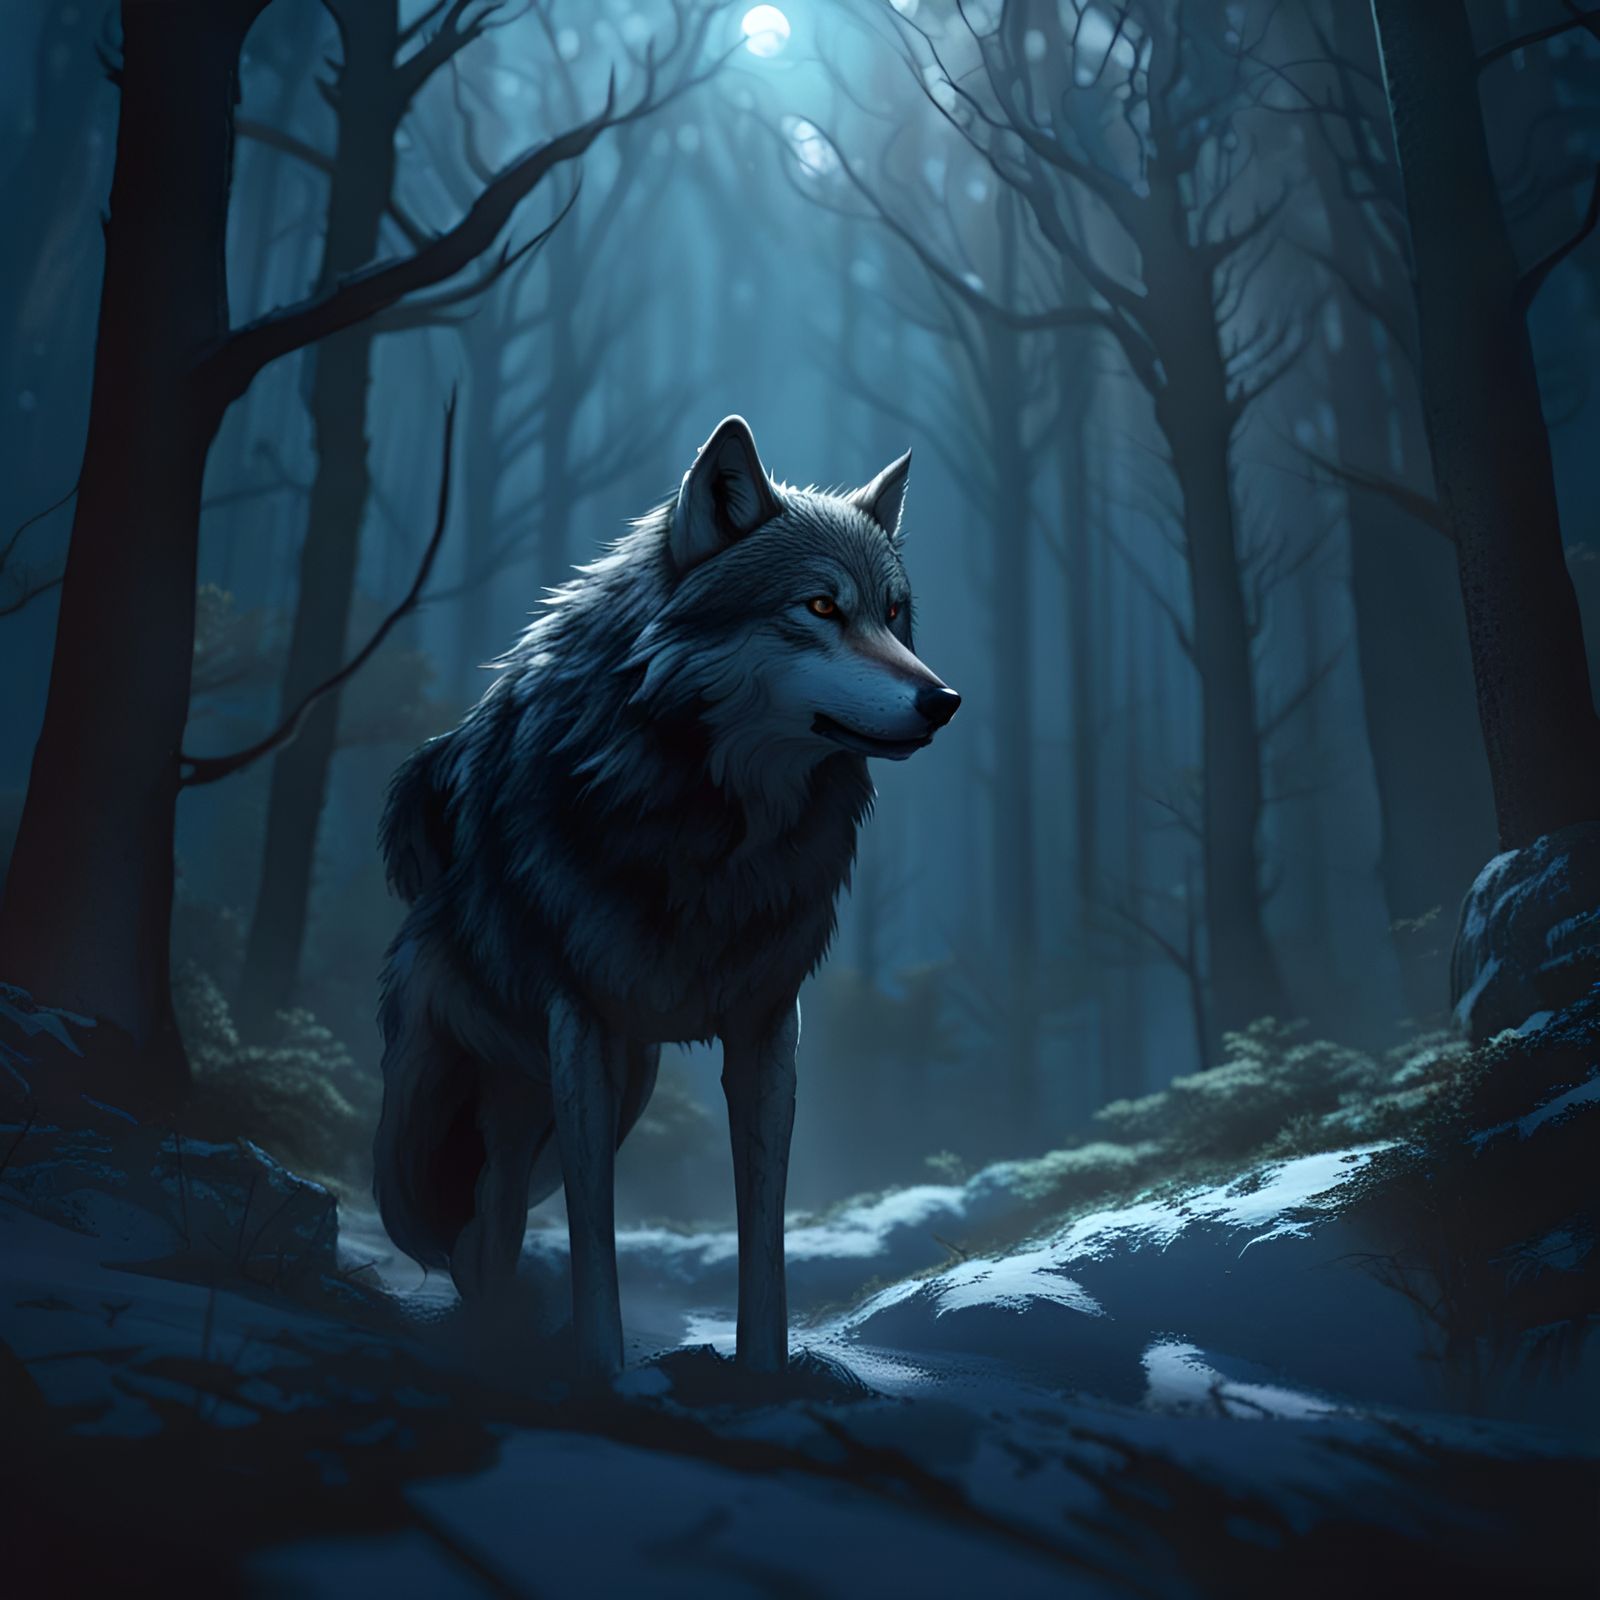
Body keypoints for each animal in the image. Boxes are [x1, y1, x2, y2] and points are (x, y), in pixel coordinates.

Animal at [373, 416, 958, 1379]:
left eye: (894, 611)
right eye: (821, 608)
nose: (944, 700)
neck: (712, 838)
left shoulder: (768, 1027)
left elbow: (764, 1228)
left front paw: (762, 1378)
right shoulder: (578, 1027)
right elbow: (592, 1230)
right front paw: (601, 1372)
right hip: (520, 1074)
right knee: (486, 1214)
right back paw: (495, 1340)